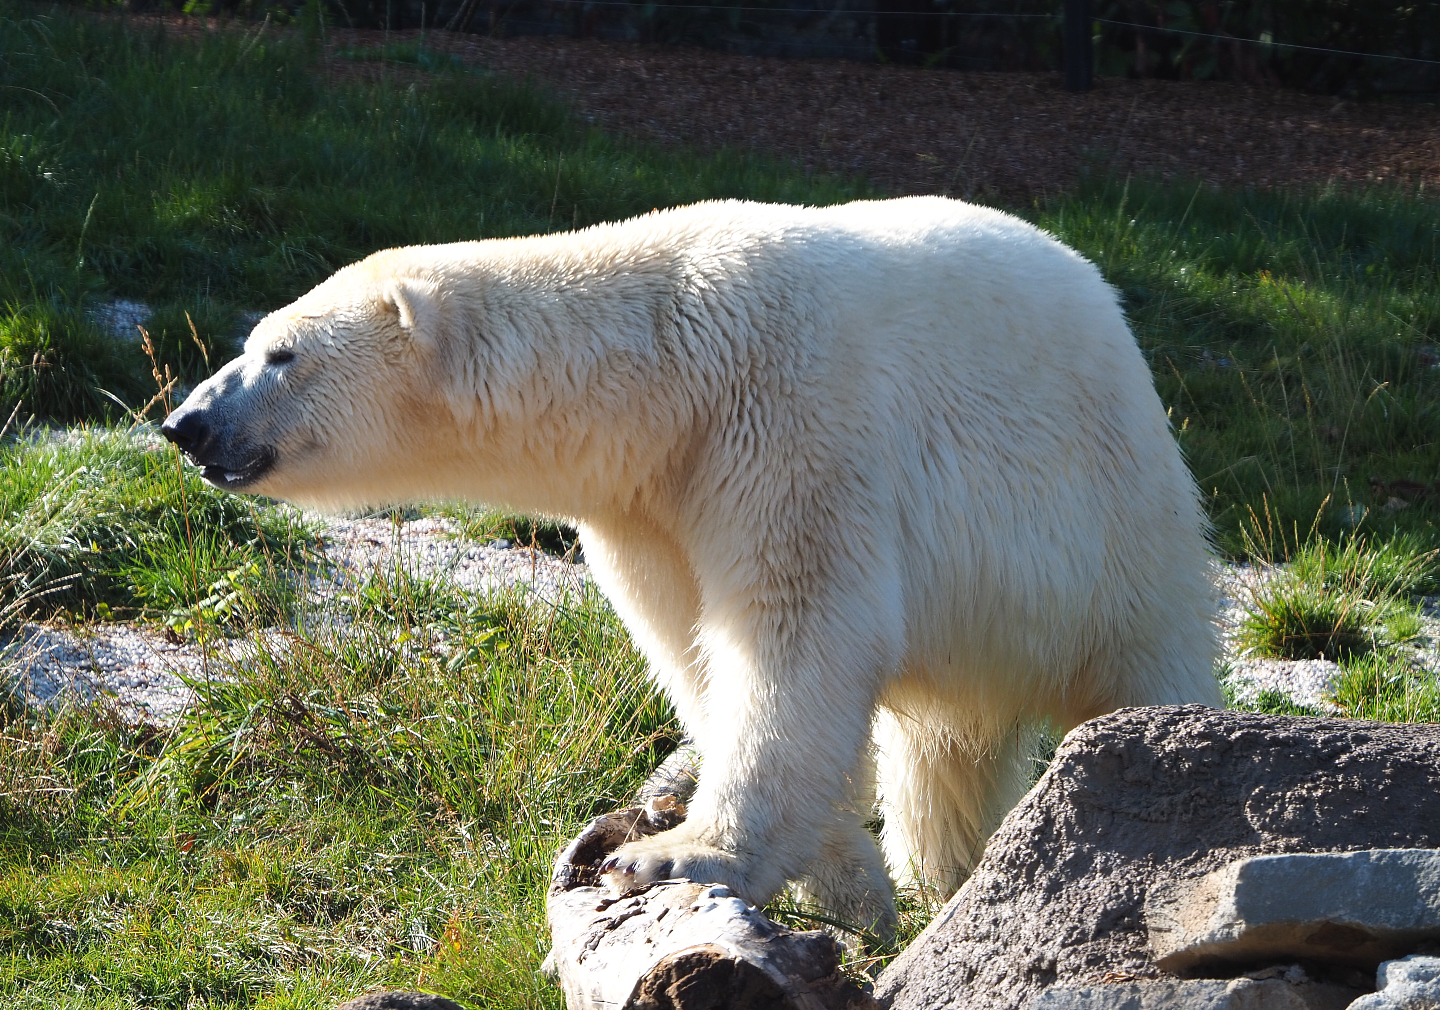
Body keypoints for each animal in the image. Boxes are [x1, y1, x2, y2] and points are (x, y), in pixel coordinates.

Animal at [161, 196, 1221, 937]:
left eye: (280, 352)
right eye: (254, 341)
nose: (185, 423)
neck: (670, 367)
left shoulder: (788, 425)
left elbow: (794, 635)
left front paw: (673, 858)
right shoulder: (648, 506)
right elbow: (696, 655)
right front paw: (853, 885)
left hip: (1111, 516)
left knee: (1141, 662)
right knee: (944, 754)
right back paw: (945, 878)